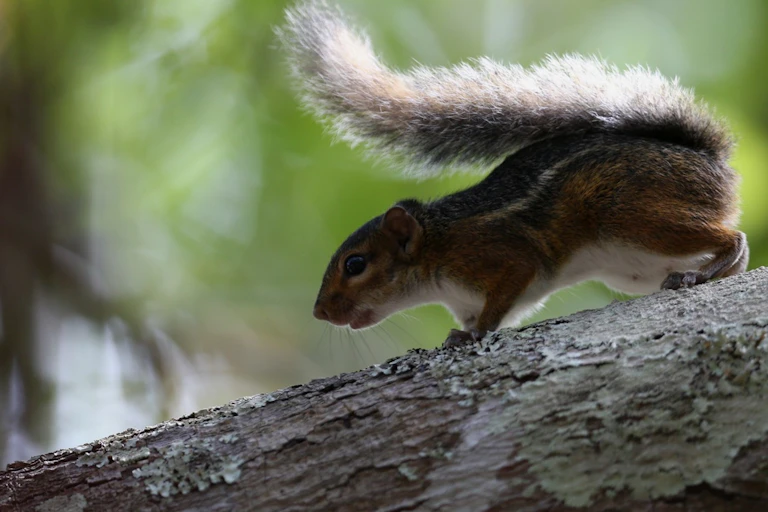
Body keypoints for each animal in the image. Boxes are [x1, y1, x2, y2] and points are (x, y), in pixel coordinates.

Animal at [278, 1, 748, 347]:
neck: (437, 245)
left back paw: (710, 267)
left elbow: (501, 300)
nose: (320, 311)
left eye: (355, 264)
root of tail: (712, 162)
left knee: (732, 237)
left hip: (636, 215)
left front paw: (474, 336)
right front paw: (465, 332)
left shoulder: (500, 257)